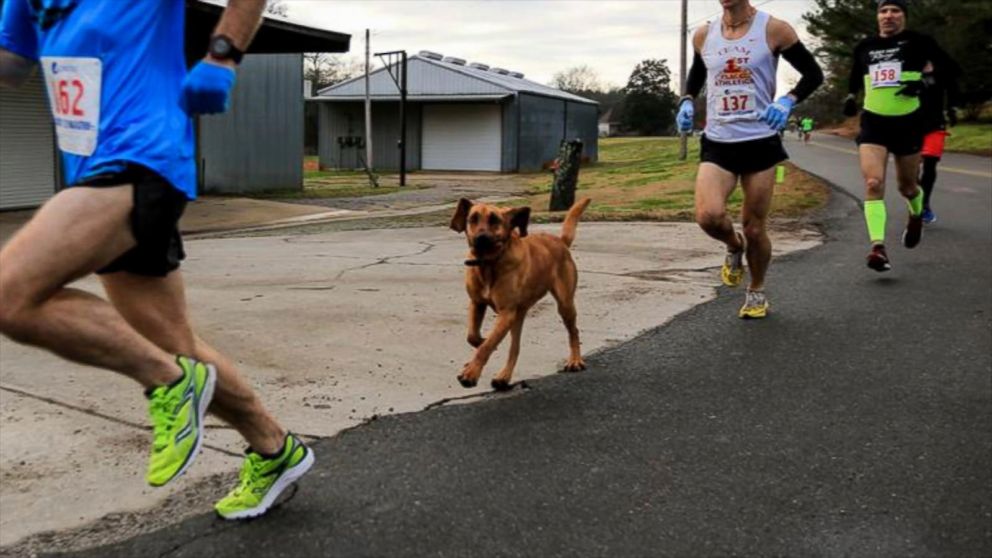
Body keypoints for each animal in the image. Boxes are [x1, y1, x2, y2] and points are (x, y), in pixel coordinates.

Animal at [448, 199, 588, 392]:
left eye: (495, 220)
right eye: (472, 219)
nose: (480, 238)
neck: (489, 263)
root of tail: (560, 241)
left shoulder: (506, 312)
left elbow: (487, 346)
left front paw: (471, 374)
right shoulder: (477, 303)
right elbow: (473, 337)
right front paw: (476, 351)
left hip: (565, 303)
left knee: (573, 331)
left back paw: (575, 360)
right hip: (518, 316)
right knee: (515, 348)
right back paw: (503, 377)